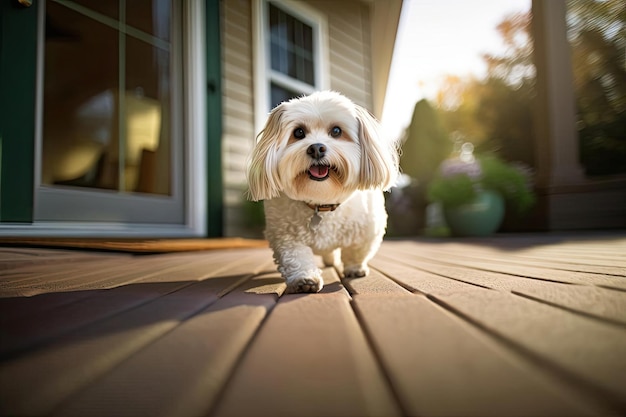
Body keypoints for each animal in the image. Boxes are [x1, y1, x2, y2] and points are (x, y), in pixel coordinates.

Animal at [246, 91, 398, 292]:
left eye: (336, 131)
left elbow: (356, 252)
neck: (321, 203)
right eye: (298, 132)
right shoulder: (285, 236)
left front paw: (355, 268)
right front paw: (305, 279)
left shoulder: (367, 231)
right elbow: (296, 257)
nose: (316, 148)